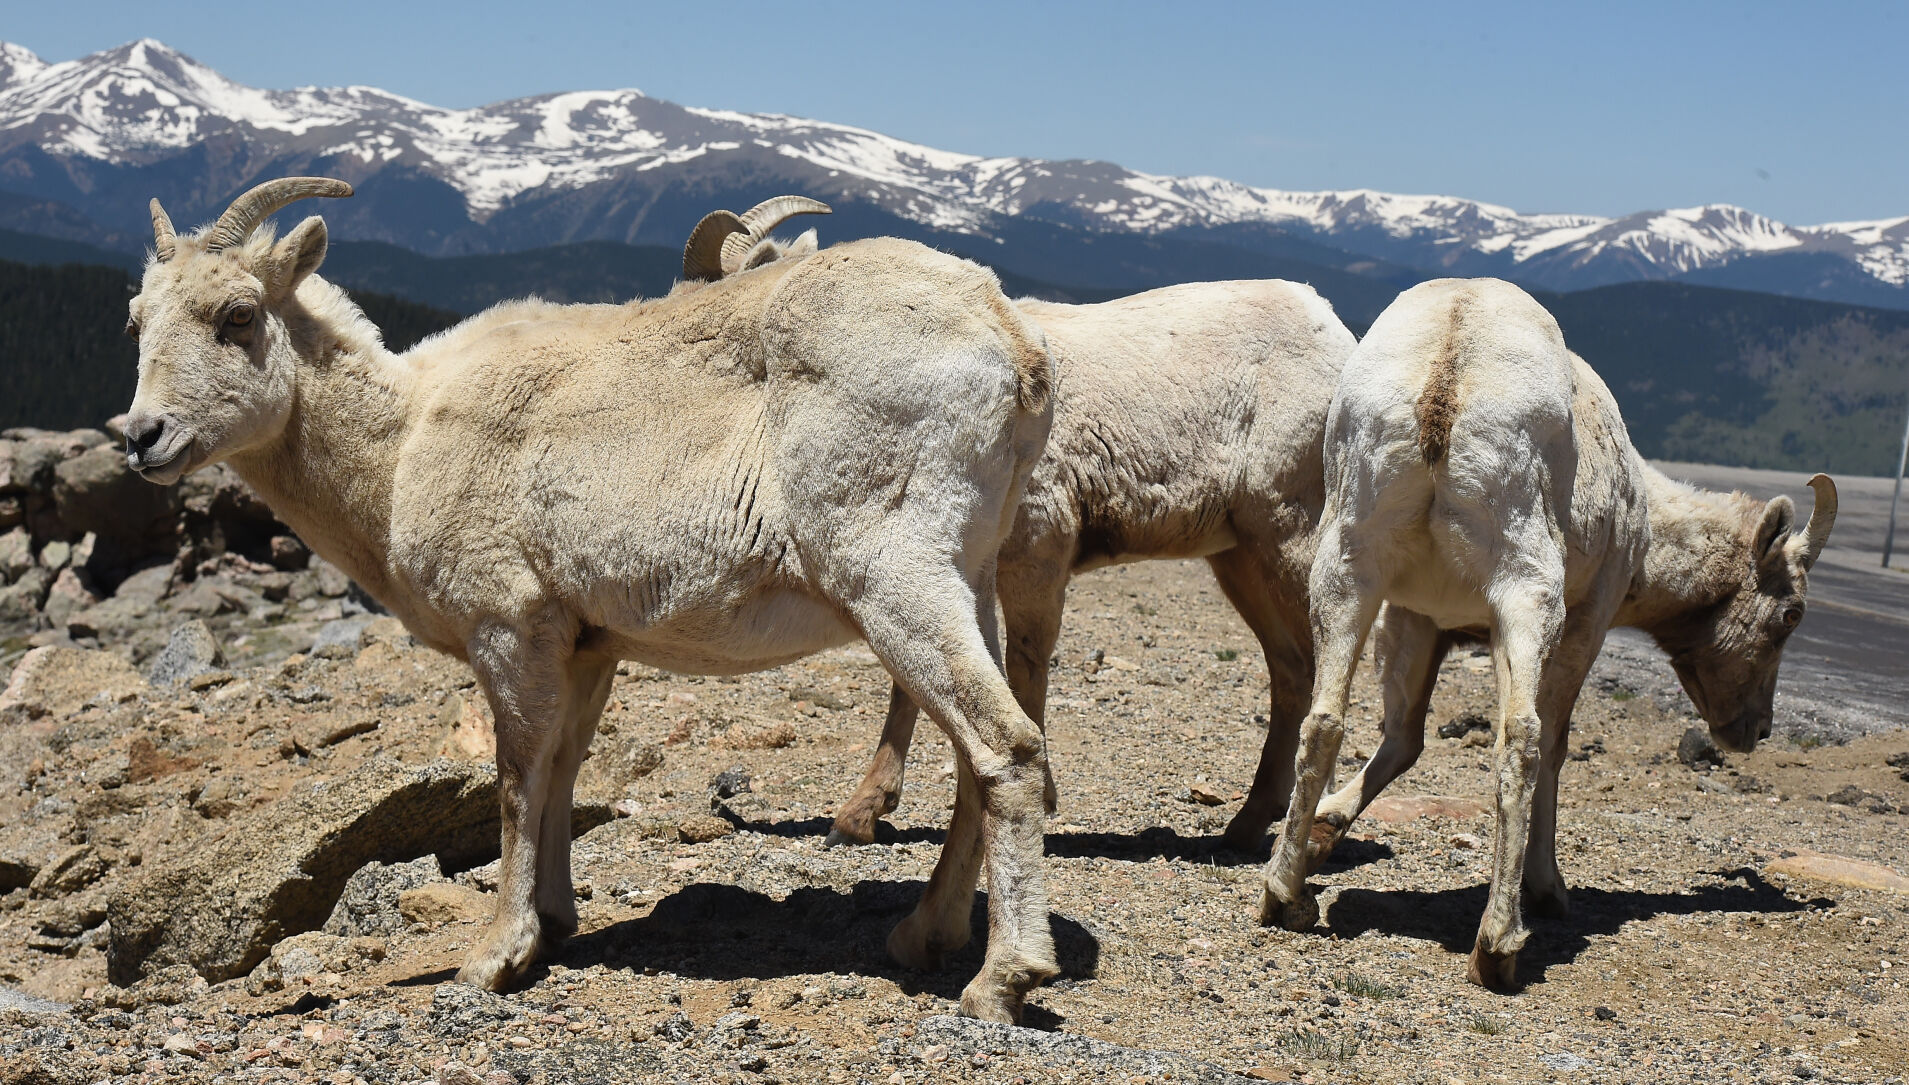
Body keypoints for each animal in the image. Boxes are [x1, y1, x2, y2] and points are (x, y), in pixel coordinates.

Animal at [120, 178, 1062, 1022]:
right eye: (135, 321)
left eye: (238, 315)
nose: (142, 439)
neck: (399, 447)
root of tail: (1013, 346)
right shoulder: (587, 645)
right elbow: (564, 769)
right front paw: (554, 922)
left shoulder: (508, 627)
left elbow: (514, 779)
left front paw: (494, 958)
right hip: (966, 577)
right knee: (983, 754)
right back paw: (922, 936)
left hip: (895, 575)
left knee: (1005, 744)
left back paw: (1000, 982)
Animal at [813, 277, 1362, 849]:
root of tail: (1329, 323)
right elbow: (914, 685)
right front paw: (857, 816)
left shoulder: (1038, 554)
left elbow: (1024, 670)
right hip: (1240, 555)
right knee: (1292, 669)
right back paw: (1247, 825)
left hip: (1292, 528)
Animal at [1257, 277, 1837, 989]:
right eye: (1791, 616)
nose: (1754, 730)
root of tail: (1445, 378)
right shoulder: (1585, 623)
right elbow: (1554, 743)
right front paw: (1550, 889)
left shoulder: (1417, 619)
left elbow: (1404, 739)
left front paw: (1324, 833)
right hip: (1526, 589)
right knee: (1522, 739)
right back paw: (1499, 945)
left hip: (1346, 567)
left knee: (1324, 719)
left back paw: (1284, 895)